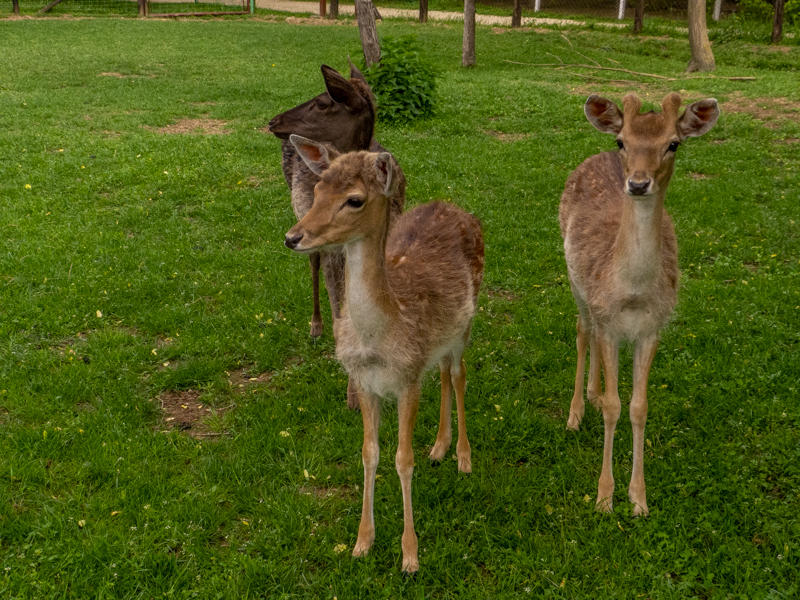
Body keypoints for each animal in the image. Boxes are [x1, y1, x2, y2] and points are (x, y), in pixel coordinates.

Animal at [269, 61, 406, 410]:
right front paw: (354, 395)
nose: (273, 121)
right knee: (313, 264)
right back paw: (315, 326)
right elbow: (339, 312)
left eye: (322, 102)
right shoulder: (328, 248)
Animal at [284, 135, 484, 574]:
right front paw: (362, 542)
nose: (293, 237)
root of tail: (457, 208)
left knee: (459, 375)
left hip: (466, 322)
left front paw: (410, 556)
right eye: (318, 189)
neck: (378, 341)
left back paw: (463, 457)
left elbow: (402, 459)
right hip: (438, 342)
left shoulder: (407, 379)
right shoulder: (366, 382)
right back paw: (439, 448)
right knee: (443, 373)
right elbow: (369, 455)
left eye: (354, 199)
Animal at [560, 92, 719, 517]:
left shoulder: (651, 328)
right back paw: (576, 412)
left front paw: (639, 498)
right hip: (574, 280)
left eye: (673, 144)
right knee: (583, 330)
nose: (637, 183)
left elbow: (638, 407)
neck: (631, 293)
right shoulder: (610, 321)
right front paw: (604, 497)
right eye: (623, 141)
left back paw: (593, 394)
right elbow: (616, 407)